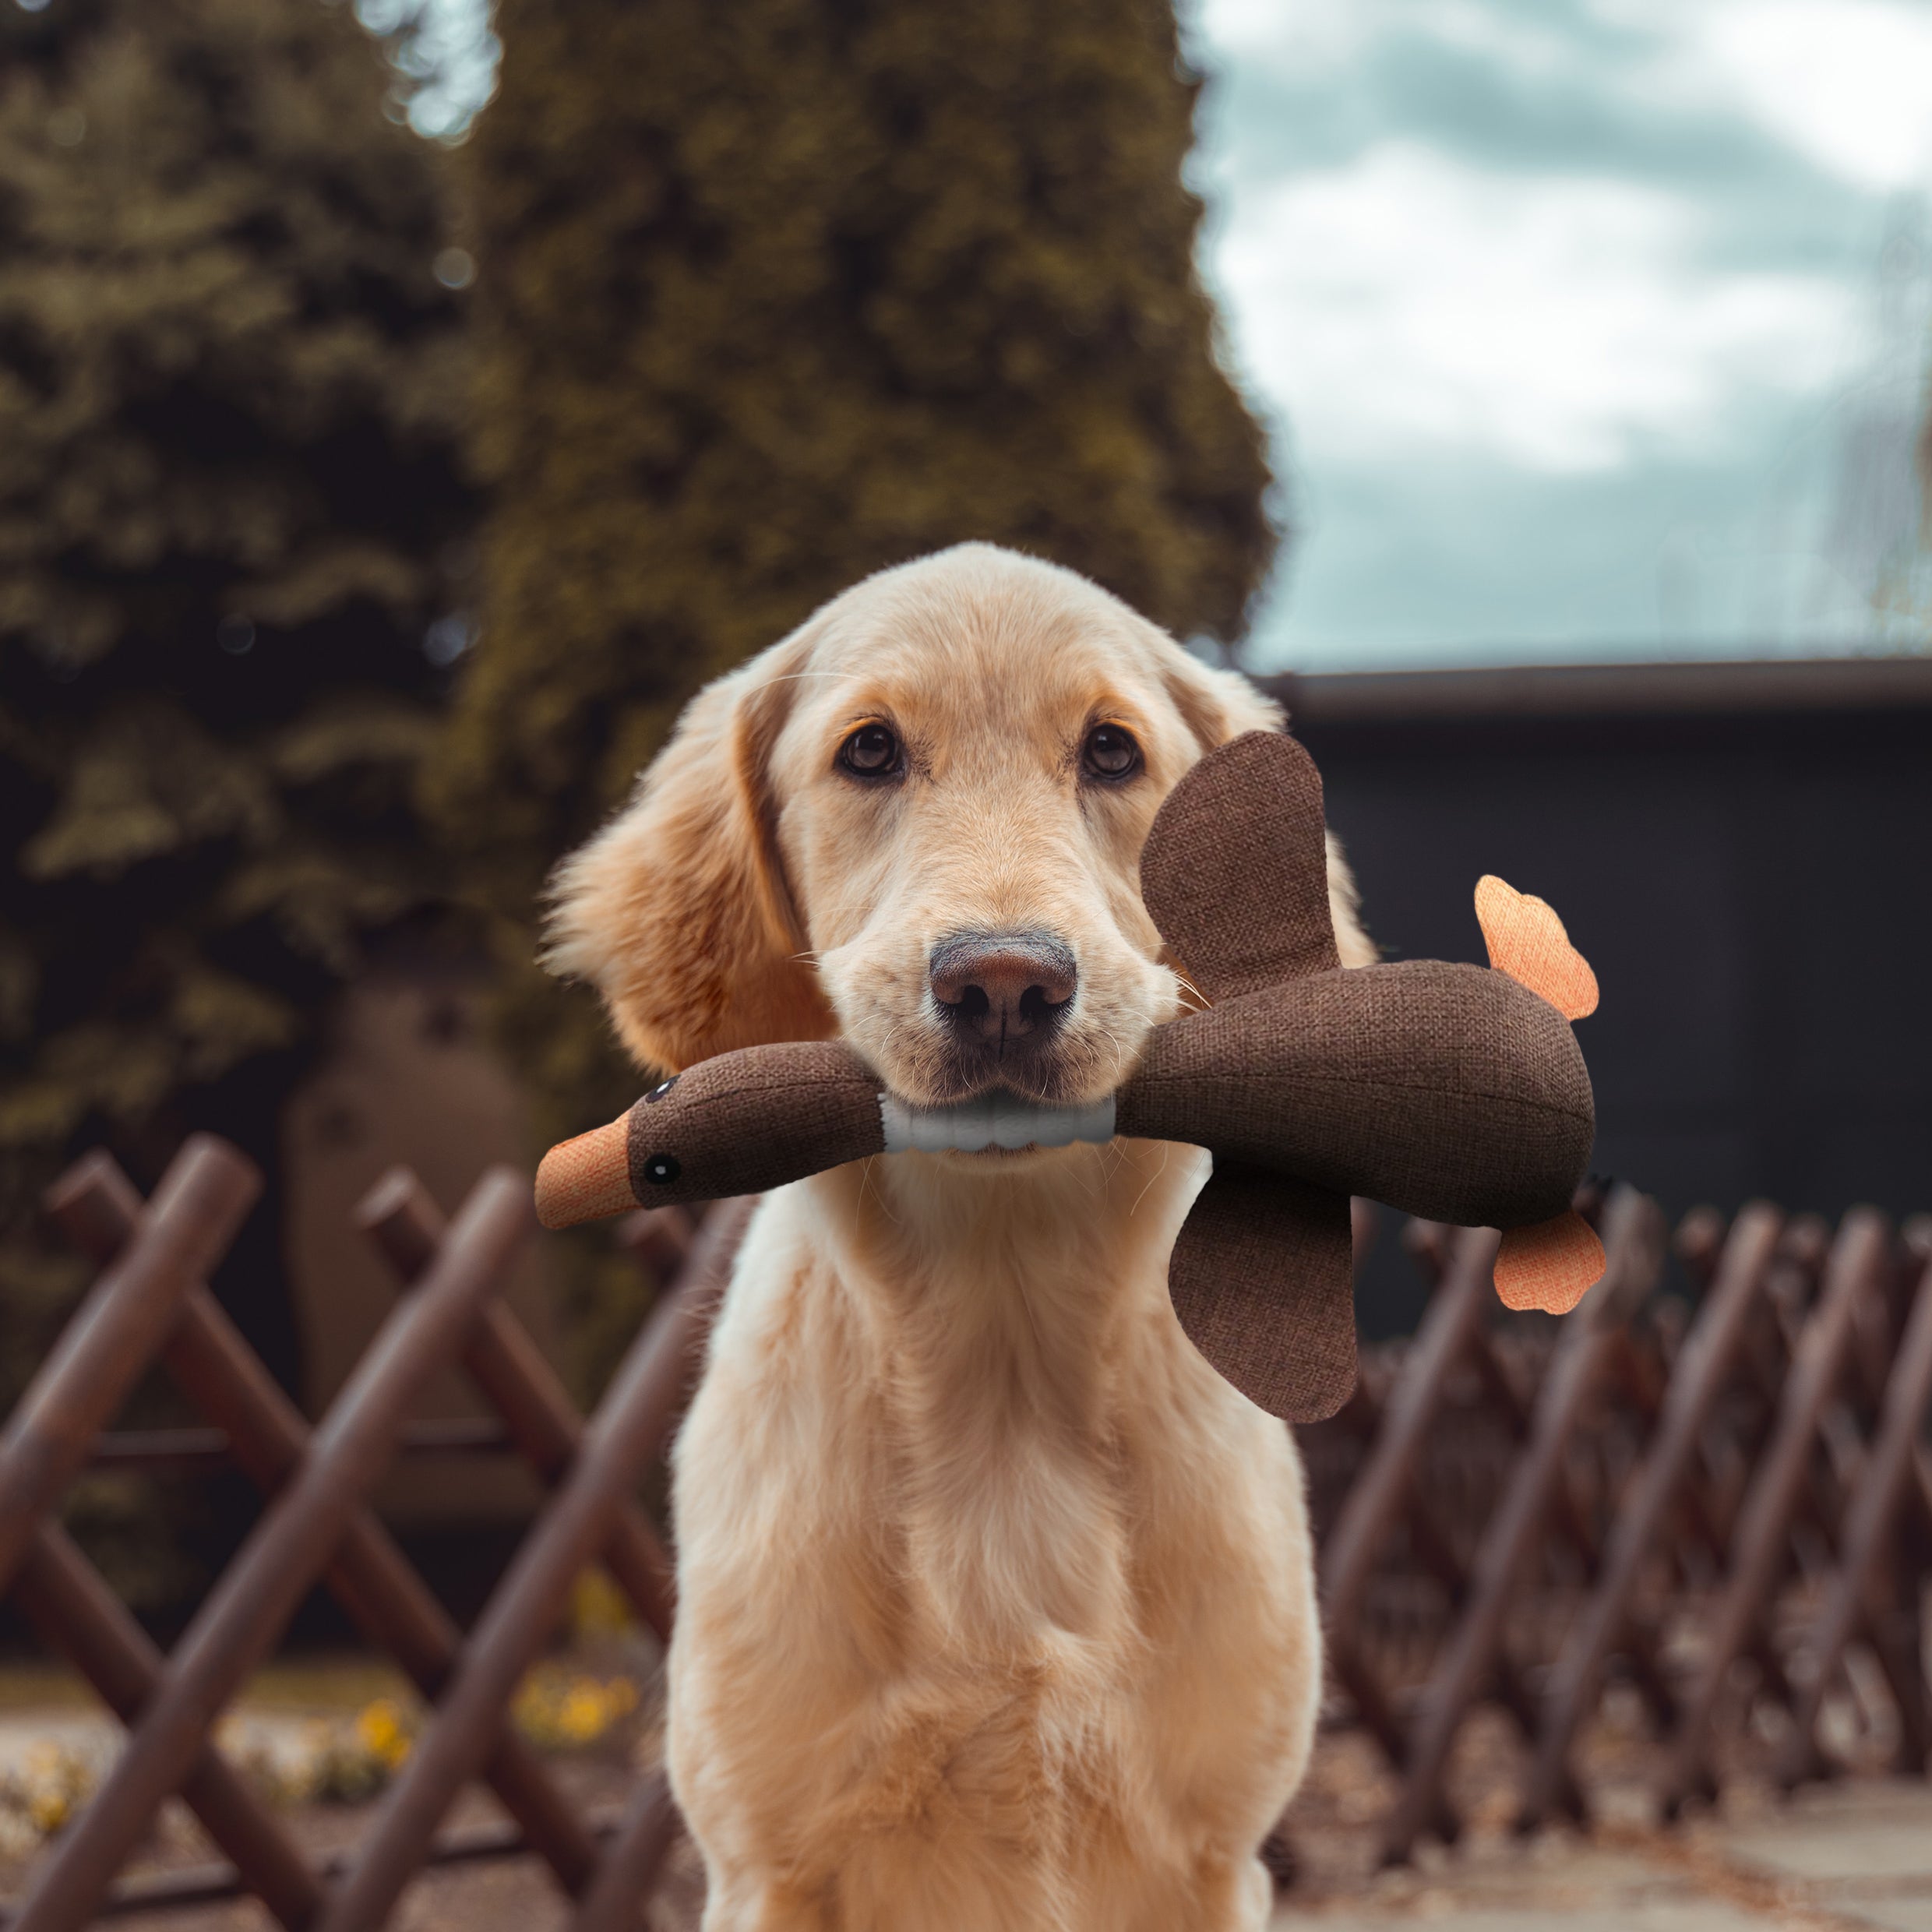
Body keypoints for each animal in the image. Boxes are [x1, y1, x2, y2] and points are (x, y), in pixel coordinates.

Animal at [552, 545, 1383, 1932]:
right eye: (871, 752)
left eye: (1111, 752)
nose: (1004, 984)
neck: (1005, 1344)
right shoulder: (767, 1860)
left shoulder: (1216, 1854)